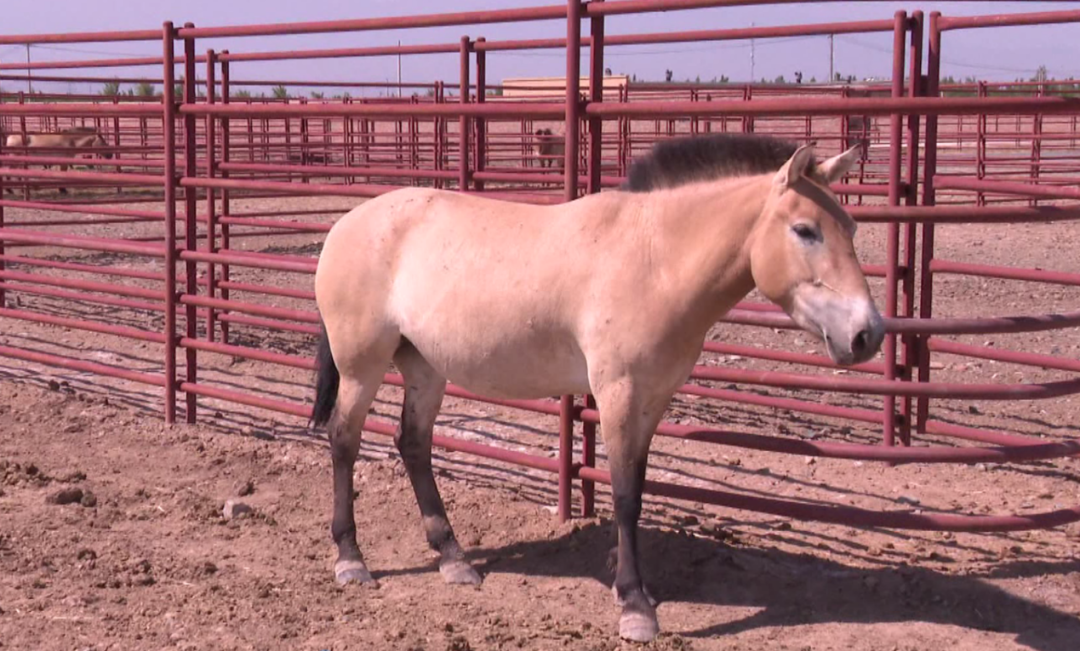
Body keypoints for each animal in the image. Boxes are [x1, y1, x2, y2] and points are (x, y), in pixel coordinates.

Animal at [308, 134, 881, 643]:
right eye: (805, 230)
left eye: (852, 227)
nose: (867, 334)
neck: (655, 260)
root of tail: (347, 224)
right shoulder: (620, 393)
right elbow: (624, 494)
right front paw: (635, 605)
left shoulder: (653, 398)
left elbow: (639, 488)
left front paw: (630, 582)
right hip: (362, 366)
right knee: (344, 441)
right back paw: (351, 560)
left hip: (425, 367)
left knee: (413, 445)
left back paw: (453, 558)